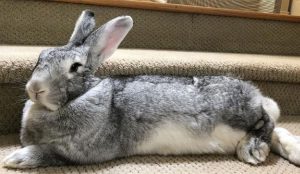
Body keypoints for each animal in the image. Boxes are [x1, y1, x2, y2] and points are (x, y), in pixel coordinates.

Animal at [1, 10, 298, 168]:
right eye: (40, 56)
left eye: (75, 67)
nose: (35, 89)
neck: (81, 95)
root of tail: (257, 94)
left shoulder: (79, 153)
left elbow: (49, 154)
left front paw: (15, 159)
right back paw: (291, 151)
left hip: (238, 113)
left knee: (267, 121)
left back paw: (252, 149)